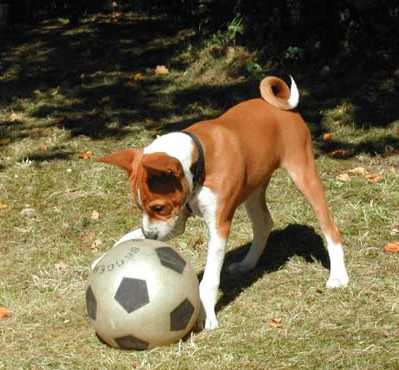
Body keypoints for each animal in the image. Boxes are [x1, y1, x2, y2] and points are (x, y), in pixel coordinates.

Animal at [97, 75, 350, 330]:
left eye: (159, 207)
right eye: (140, 207)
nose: (150, 237)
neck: (200, 161)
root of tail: (281, 106)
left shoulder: (218, 226)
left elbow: (209, 280)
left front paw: (207, 315)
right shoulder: (175, 223)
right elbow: (128, 236)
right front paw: (102, 259)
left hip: (303, 174)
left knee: (330, 226)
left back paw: (338, 276)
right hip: (253, 189)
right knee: (264, 223)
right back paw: (247, 263)